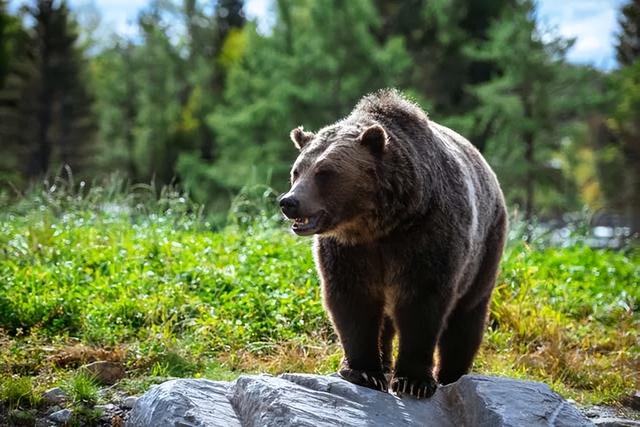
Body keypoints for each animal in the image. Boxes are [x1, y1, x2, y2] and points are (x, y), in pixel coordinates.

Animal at [278, 90, 508, 402]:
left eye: (325, 172)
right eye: (297, 171)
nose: (289, 202)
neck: (380, 224)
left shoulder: (427, 236)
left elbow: (422, 304)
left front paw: (414, 381)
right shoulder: (348, 251)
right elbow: (352, 300)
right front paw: (363, 371)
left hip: (486, 246)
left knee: (468, 314)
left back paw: (452, 374)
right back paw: (385, 364)